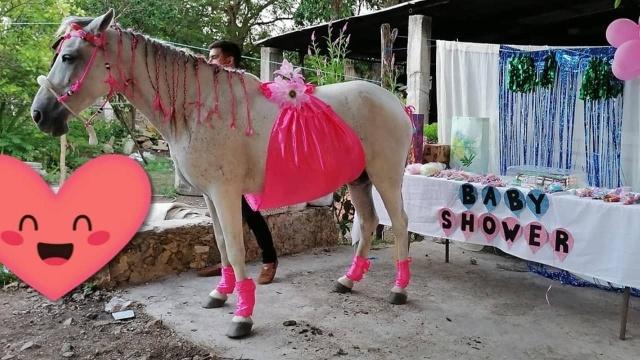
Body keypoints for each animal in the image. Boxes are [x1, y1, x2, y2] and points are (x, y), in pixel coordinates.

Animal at [30, 9, 412, 338]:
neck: (202, 110)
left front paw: (242, 317)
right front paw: (220, 293)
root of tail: (395, 101)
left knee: (399, 223)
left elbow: (237, 247)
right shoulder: (209, 195)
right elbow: (220, 243)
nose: (38, 114)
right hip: (359, 179)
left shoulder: (226, 193)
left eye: (69, 57)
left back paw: (398, 289)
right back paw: (347, 281)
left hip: (386, 177)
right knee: (368, 221)